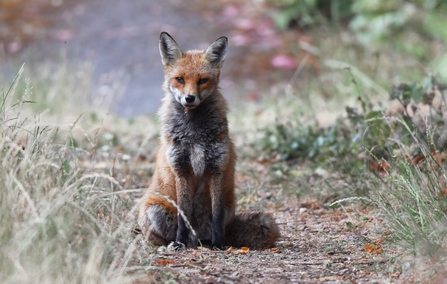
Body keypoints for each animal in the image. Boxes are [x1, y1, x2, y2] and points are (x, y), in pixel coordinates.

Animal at [139, 31, 280, 248]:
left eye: (202, 80)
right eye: (179, 79)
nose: (189, 98)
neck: (194, 132)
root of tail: (196, 238)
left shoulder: (217, 169)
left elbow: (216, 214)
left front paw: (219, 244)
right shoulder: (181, 169)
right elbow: (183, 215)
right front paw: (179, 243)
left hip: (229, 207)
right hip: (155, 210)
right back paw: (176, 243)